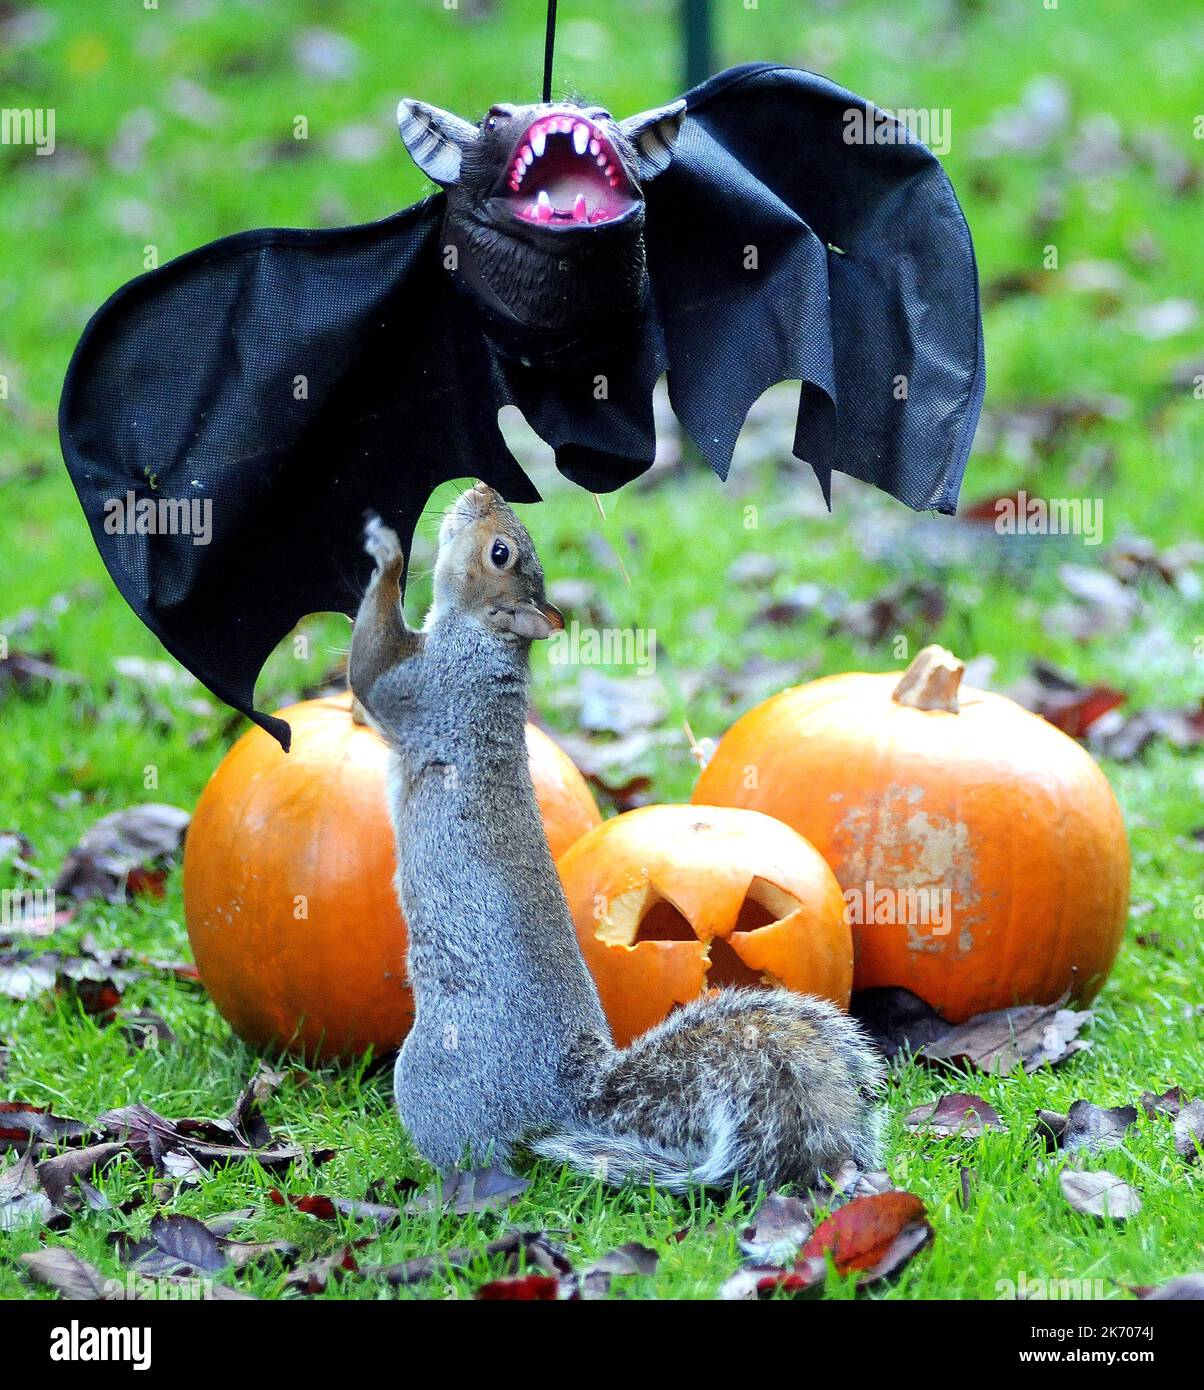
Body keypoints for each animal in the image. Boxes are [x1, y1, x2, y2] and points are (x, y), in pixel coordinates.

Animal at [347, 483, 884, 1189]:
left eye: (500, 553)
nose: (482, 489)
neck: (484, 647)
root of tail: (565, 1097)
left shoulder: (420, 689)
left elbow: (367, 667)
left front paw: (385, 554)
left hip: (431, 1078)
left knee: (480, 1161)